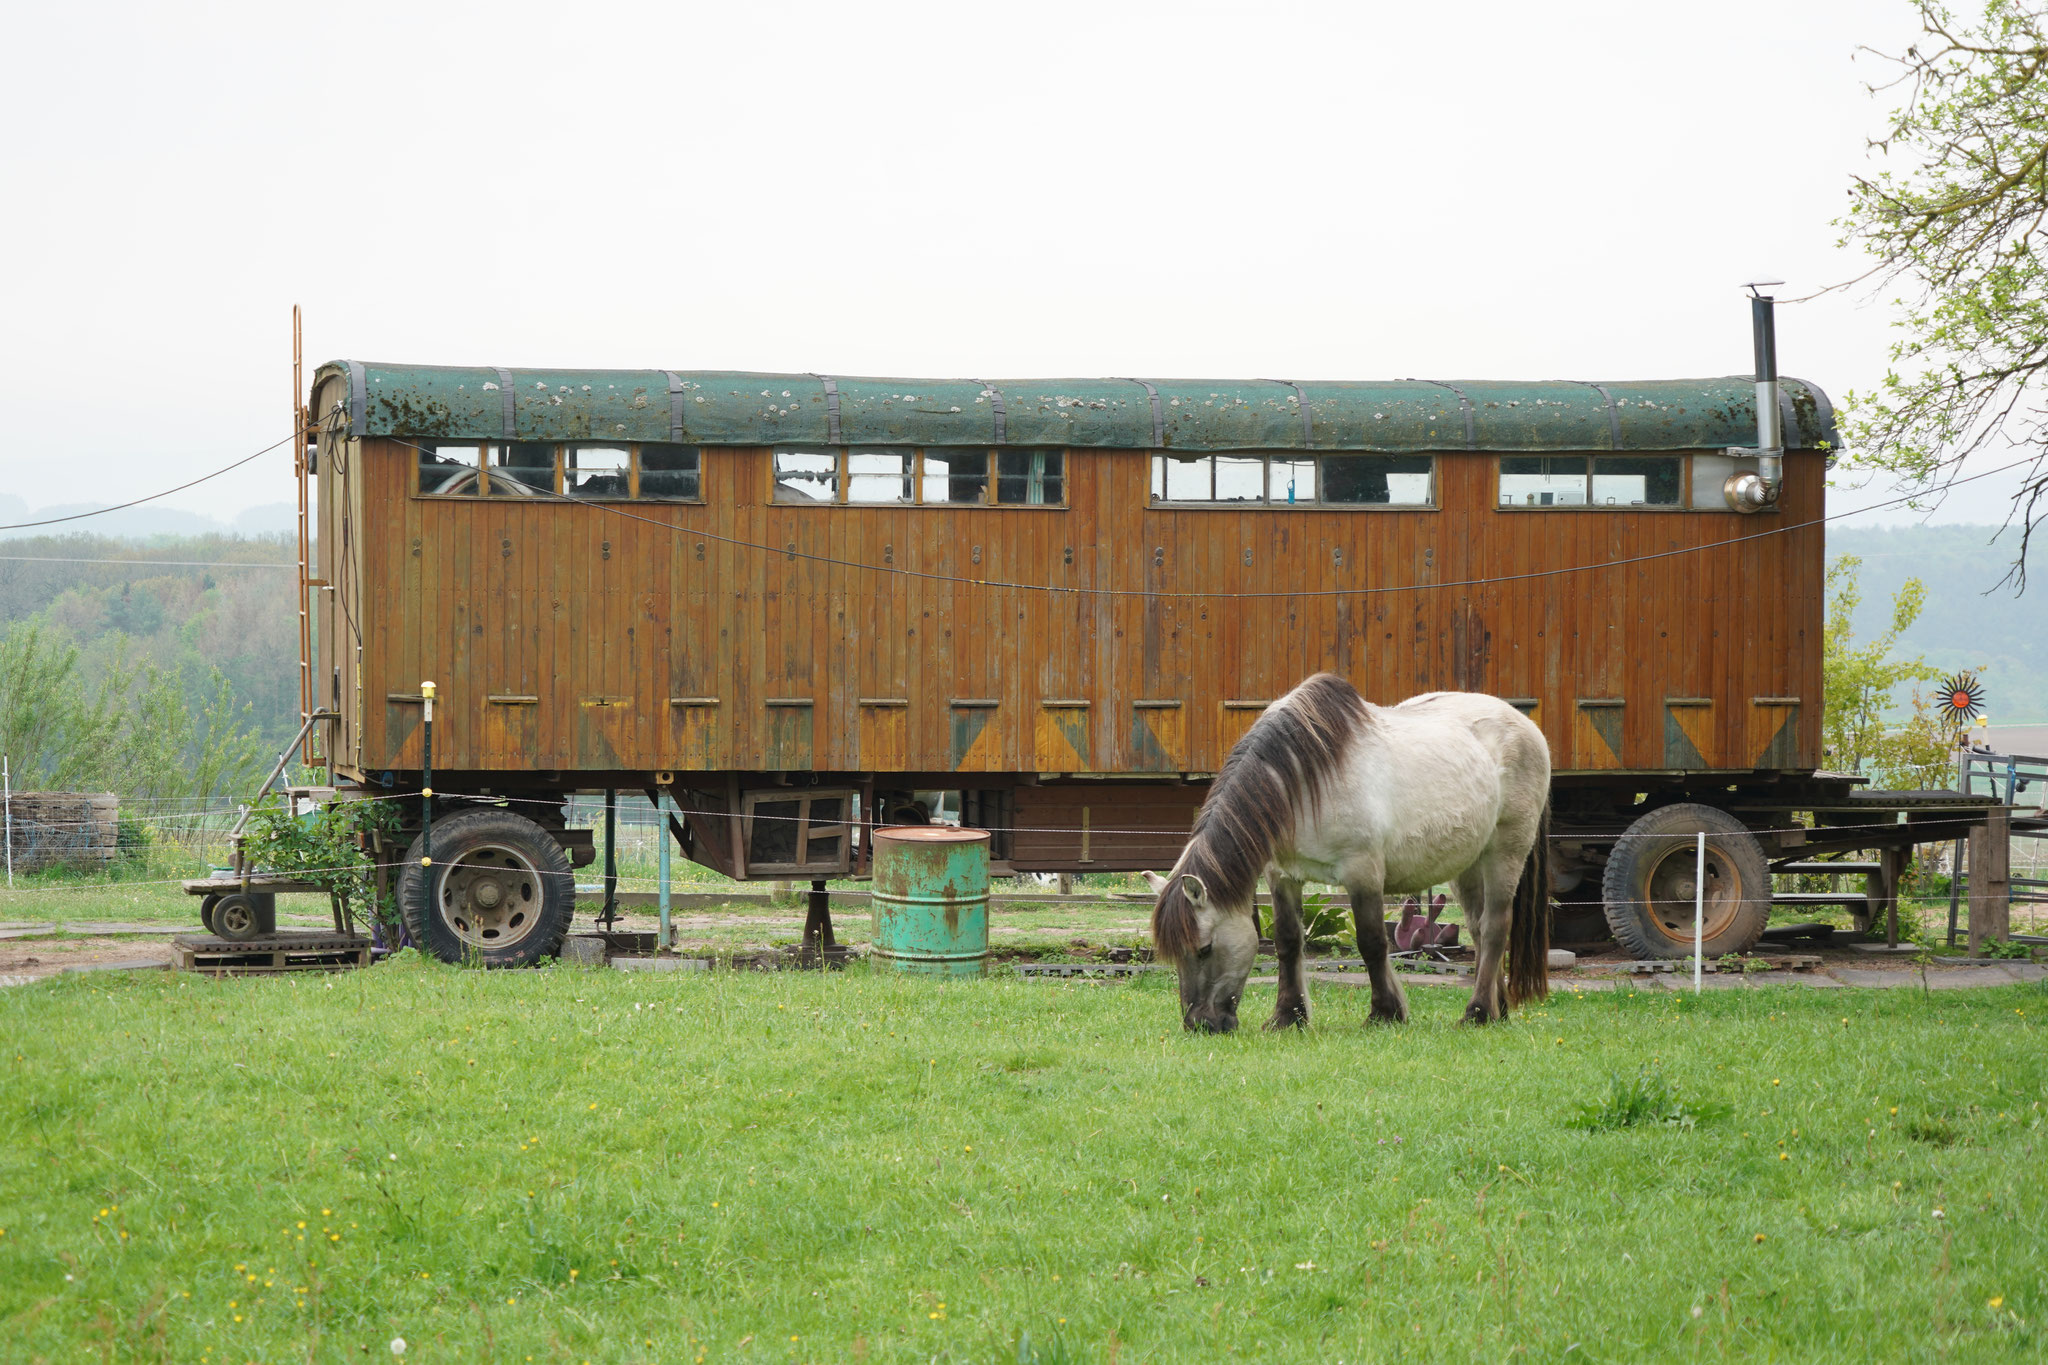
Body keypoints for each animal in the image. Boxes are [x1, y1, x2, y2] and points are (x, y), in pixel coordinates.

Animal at [1155, 671, 1548, 1035]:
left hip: (1505, 853)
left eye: (1204, 948)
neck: (1304, 782)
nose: (1200, 1024)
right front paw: (1288, 1016)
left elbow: (1372, 941)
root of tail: (1526, 726)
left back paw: (1477, 1013)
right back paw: (1498, 1009)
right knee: (1478, 929)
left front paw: (1385, 1013)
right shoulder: (1281, 875)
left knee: (1495, 927)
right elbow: (1287, 940)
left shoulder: (1363, 872)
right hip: (1467, 866)